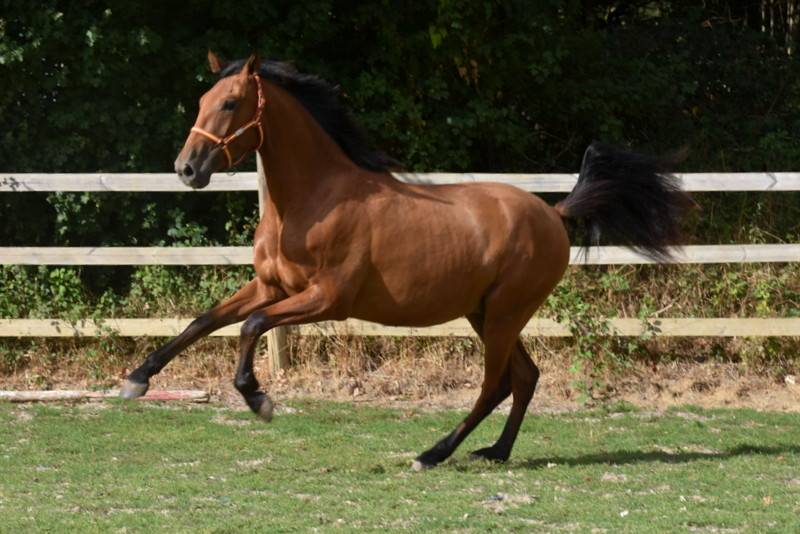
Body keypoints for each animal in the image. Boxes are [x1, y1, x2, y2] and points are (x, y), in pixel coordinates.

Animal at [120, 51, 693, 469]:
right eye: (203, 99)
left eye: (233, 102)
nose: (186, 169)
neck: (312, 200)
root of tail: (553, 212)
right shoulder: (270, 286)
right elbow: (202, 322)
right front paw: (137, 379)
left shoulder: (326, 299)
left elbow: (250, 327)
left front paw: (258, 399)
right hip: (485, 313)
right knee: (525, 378)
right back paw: (496, 452)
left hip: (505, 313)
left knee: (496, 384)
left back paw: (433, 454)